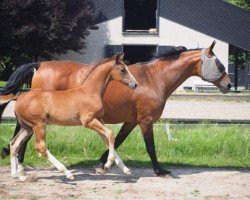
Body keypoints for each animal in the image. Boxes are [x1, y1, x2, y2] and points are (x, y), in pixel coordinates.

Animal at [8, 54, 138, 180]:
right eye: (122, 70)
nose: (135, 84)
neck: (90, 92)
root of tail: (18, 98)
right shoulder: (88, 121)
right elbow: (110, 134)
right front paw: (108, 164)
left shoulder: (99, 120)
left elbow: (107, 139)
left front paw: (124, 169)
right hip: (39, 125)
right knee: (40, 146)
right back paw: (67, 173)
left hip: (27, 127)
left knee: (14, 144)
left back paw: (16, 175)